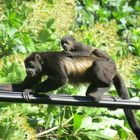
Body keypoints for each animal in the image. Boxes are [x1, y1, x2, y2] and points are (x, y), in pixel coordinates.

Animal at [10, 50, 140, 139]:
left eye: (30, 65)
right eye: (26, 66)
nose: (27, 70)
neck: (42, 61)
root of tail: (113, 67)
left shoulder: (51, 61)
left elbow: (61, 79)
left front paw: (32, 90)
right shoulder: (38, 71)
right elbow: (21, 86)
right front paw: (23, 88)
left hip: (107, 68)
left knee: (97, 66)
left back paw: (104, 87)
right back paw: (92, 93)